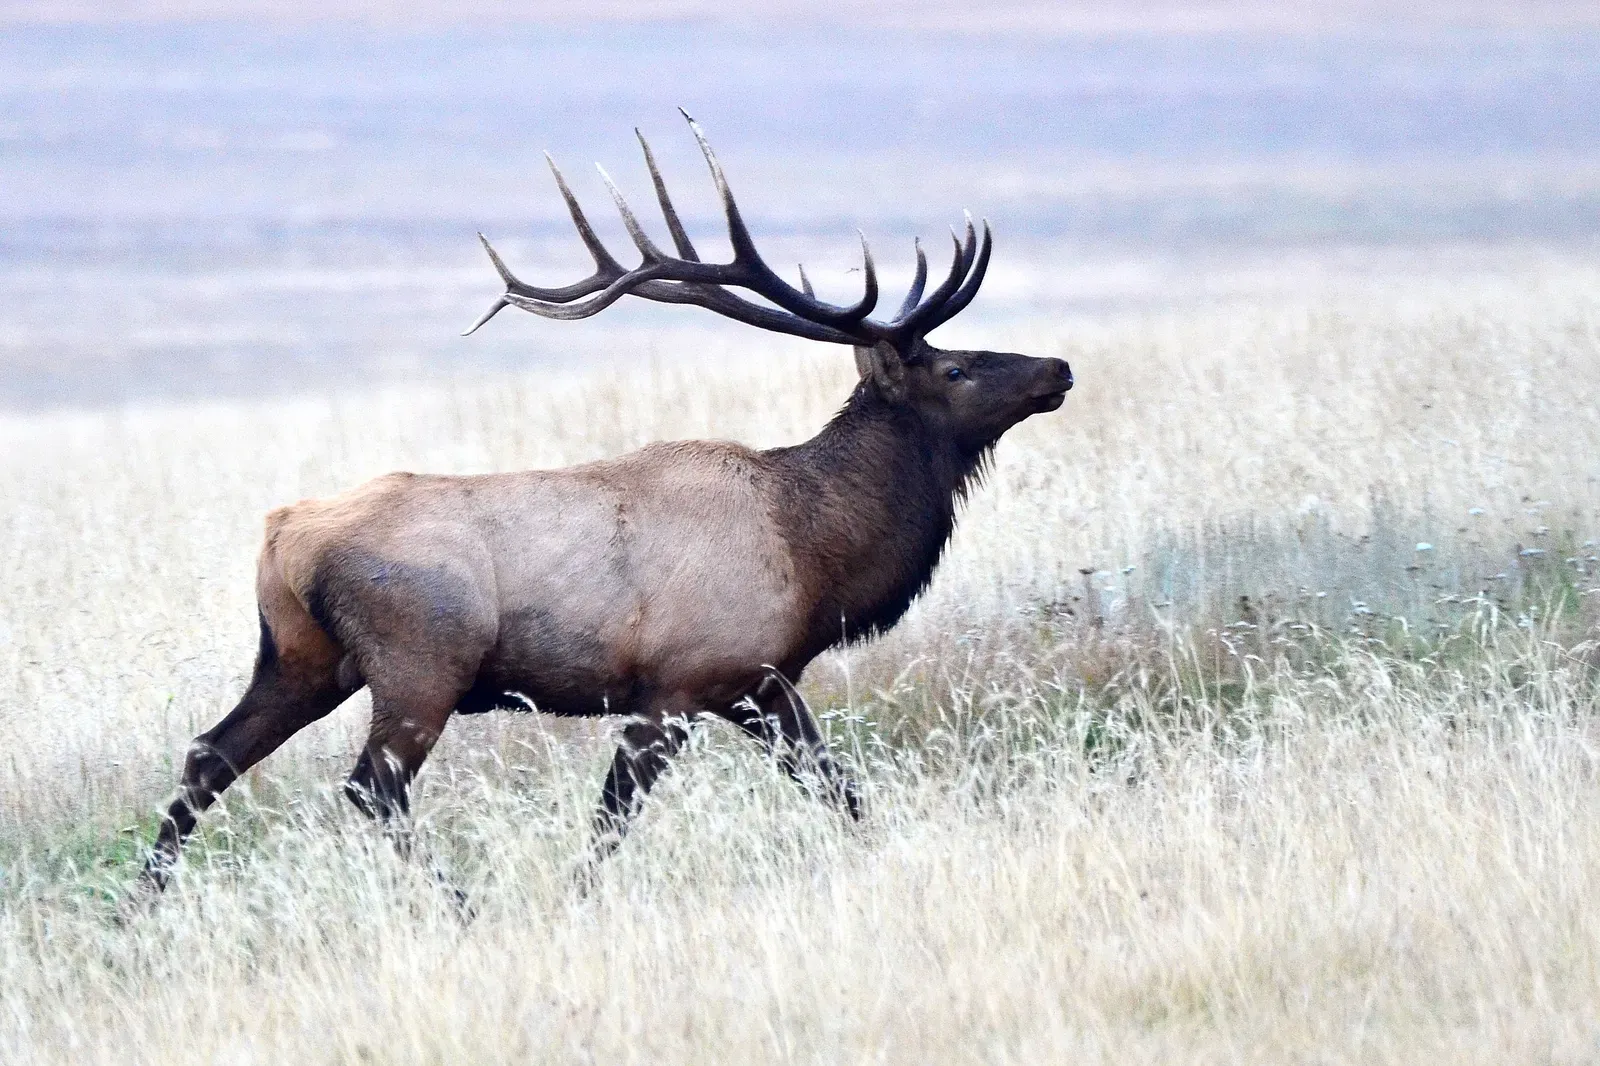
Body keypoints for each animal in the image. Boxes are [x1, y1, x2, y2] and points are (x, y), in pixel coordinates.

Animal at [135, 111, 1072, 896]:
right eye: (955, 367)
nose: (1057, 368)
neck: (818, 552)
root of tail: (281, 534)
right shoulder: (676, 684)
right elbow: (613, 818)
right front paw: (575, 896)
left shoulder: (761, 683)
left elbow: (837, 788)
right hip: (418, 663)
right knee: (371, 786)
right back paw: (460, 904)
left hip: (300, 658)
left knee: (208, 755)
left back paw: (138, 907)